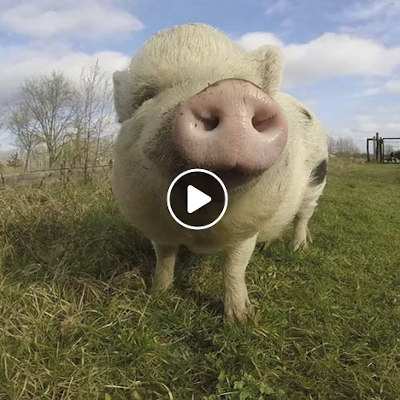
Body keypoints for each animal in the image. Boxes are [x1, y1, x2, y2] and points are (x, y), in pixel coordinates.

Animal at [110, 23, 328, 322]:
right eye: (147, 95)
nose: (230, 93)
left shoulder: (248, 223)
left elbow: (235, 266)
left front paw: (240, 319)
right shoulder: (153, 222)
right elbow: (164, 258)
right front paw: (157, 295)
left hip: (317, 180)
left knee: (303, 217)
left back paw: (299, 248)